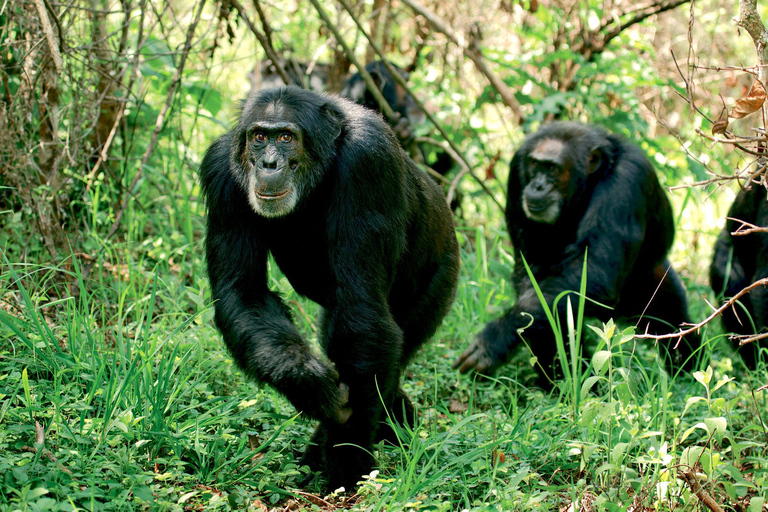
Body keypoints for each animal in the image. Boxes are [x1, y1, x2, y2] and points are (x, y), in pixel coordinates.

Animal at [201, 86, 460, 490]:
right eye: (259, 136)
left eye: (286, 137)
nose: (269, 164)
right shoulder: (221, 175)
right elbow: (244, 292)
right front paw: (308, 384)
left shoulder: (369, 161)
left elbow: (361, 315)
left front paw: (348, 462)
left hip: (441, 279)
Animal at [452, 122, 700, 382]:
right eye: (535, 165)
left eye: (552, 168)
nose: (537, 185)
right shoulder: (516, 176)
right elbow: (536, 276)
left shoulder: (628, 180)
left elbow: (596, 272)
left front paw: (497, 337)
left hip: (652, 282)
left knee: (673, 323)